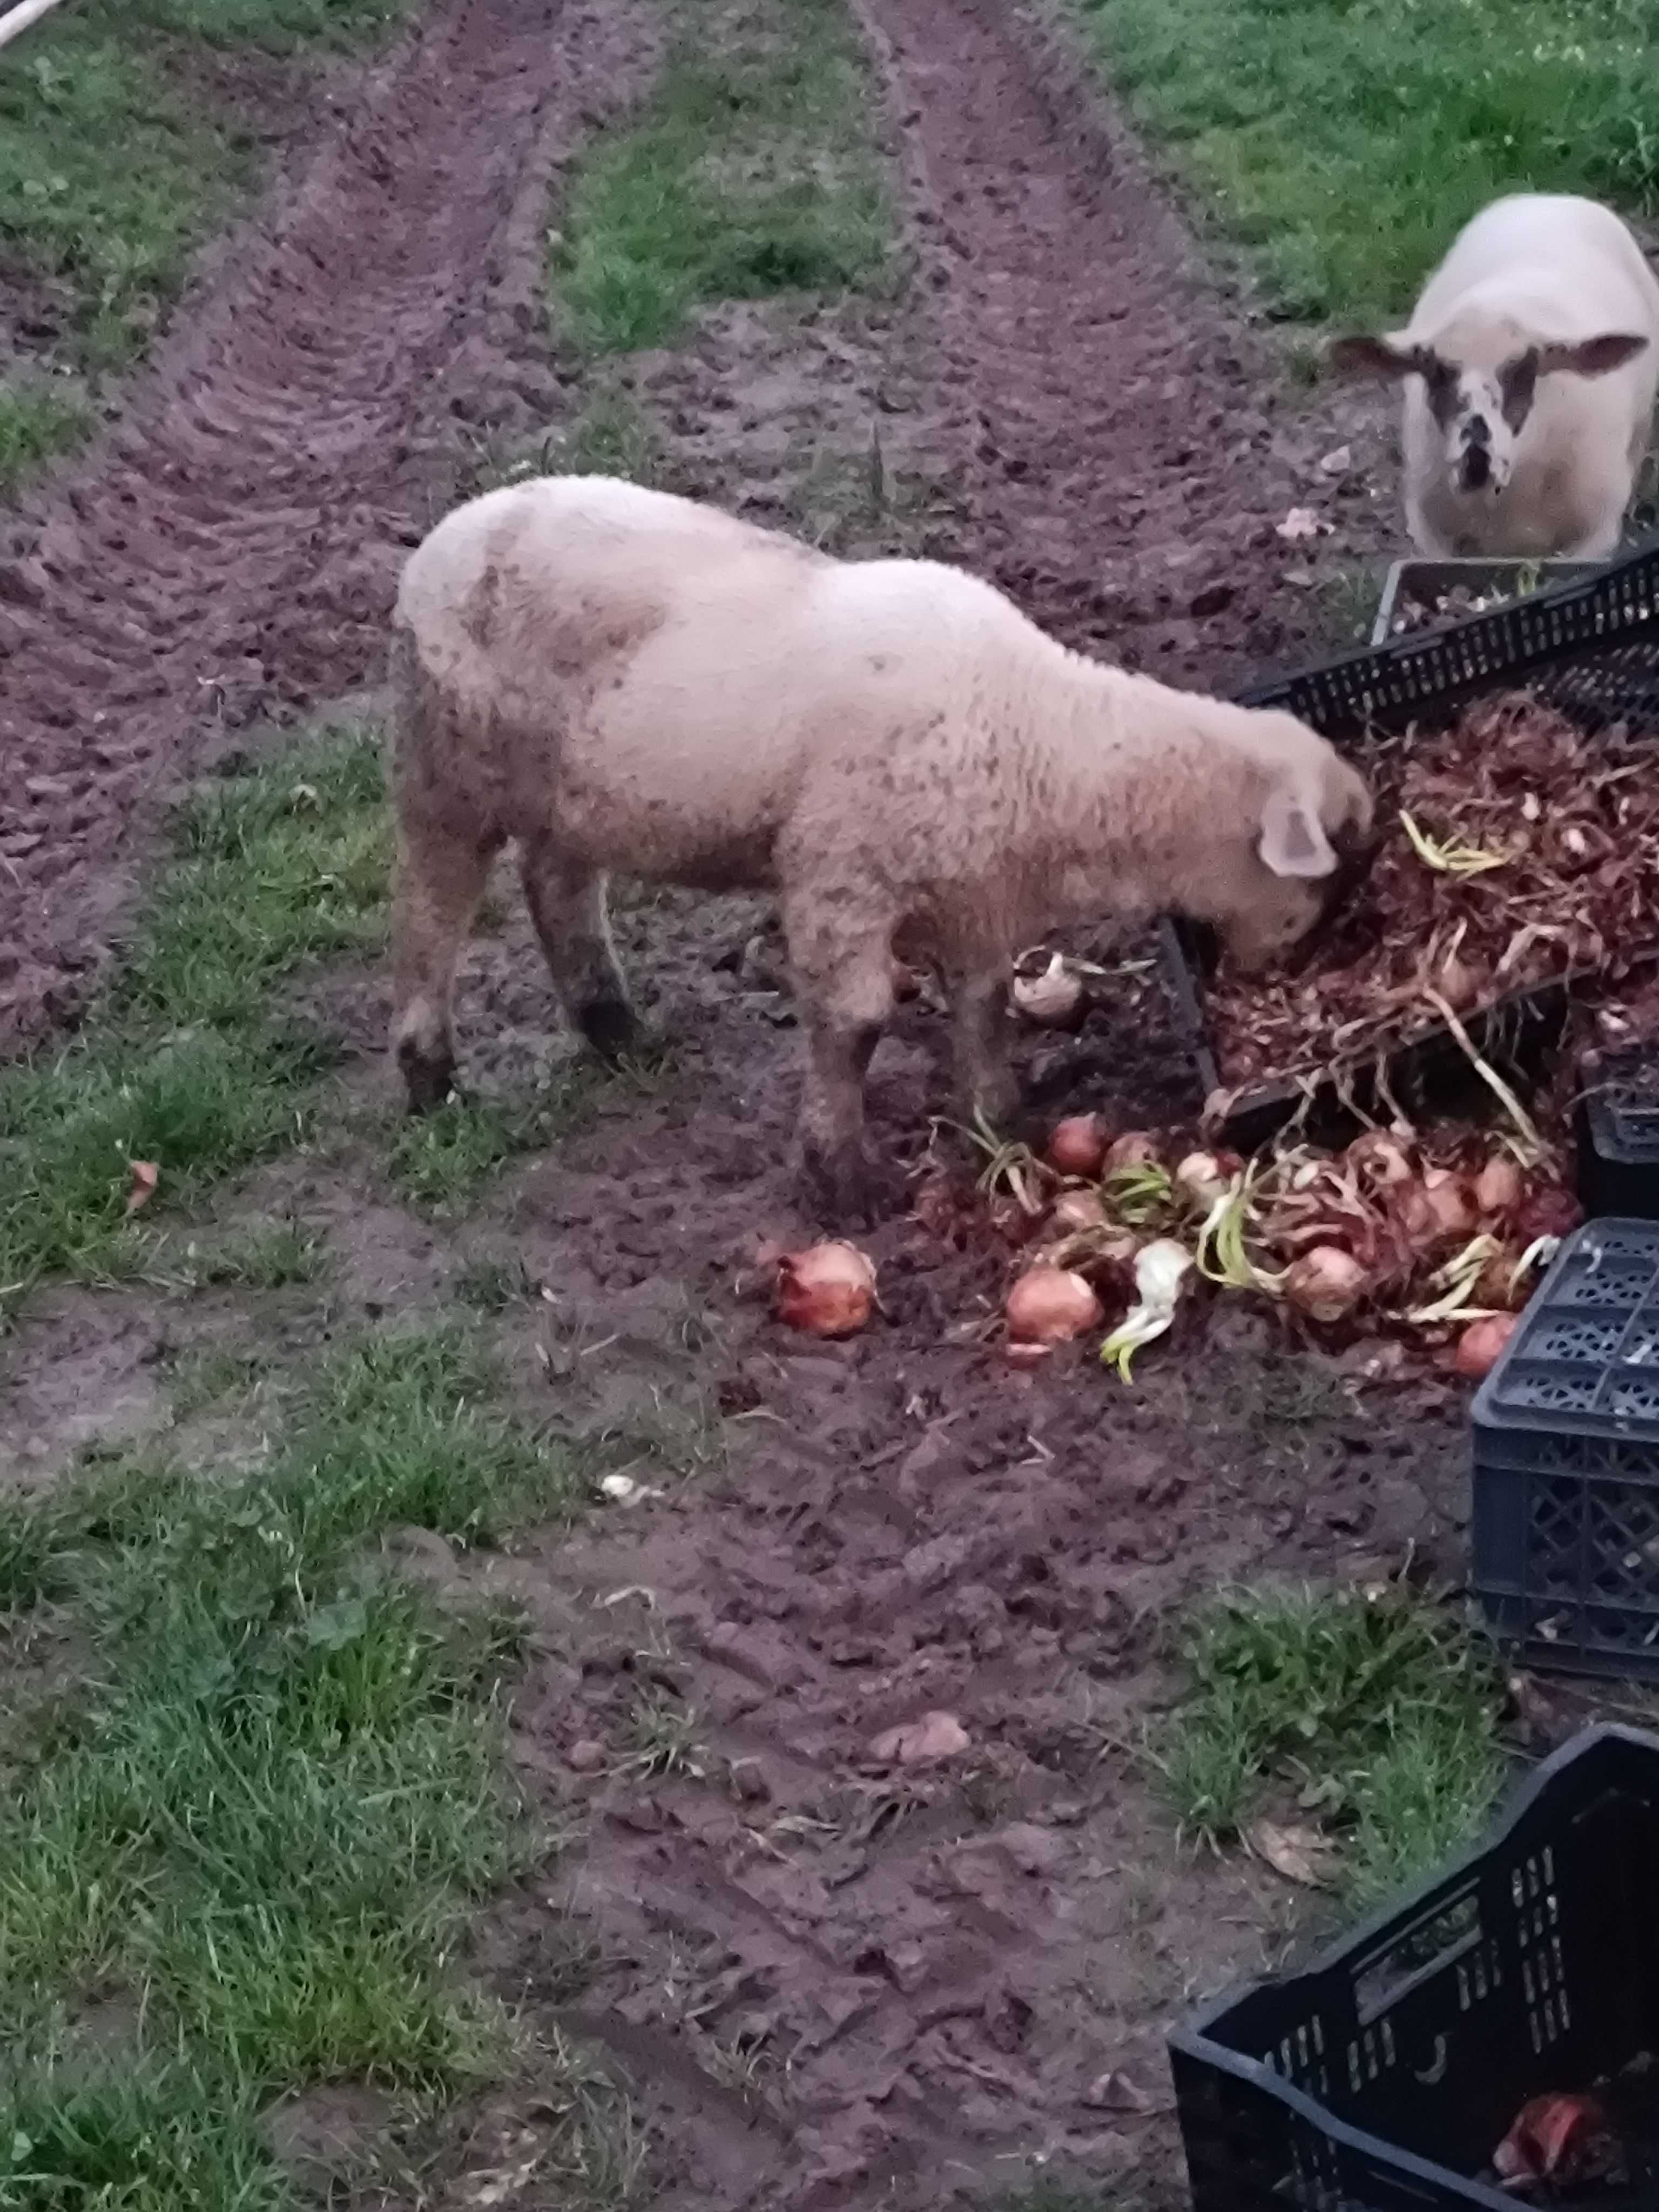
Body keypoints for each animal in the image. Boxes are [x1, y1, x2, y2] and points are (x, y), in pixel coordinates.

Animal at [389, 475, 1380, 1230]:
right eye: (1325, 878)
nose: (1283, 977)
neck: (1042, 738)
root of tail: (448, 530)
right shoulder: (841, 877)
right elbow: (856, 1022)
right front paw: (842, 1178)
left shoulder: (975, 893)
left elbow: (984, 1004)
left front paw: (996, 1126)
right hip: (446, 763)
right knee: (432, 908)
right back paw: (429, 1072)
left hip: (570, 790)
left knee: (556, 882)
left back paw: (614, 1030)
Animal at [1336, 192, 1659, 562]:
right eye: (1436, 371)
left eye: (1525, 370)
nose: (1476, 461)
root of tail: (1548, 197)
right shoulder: (1434, 539)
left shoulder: (1594, 537)